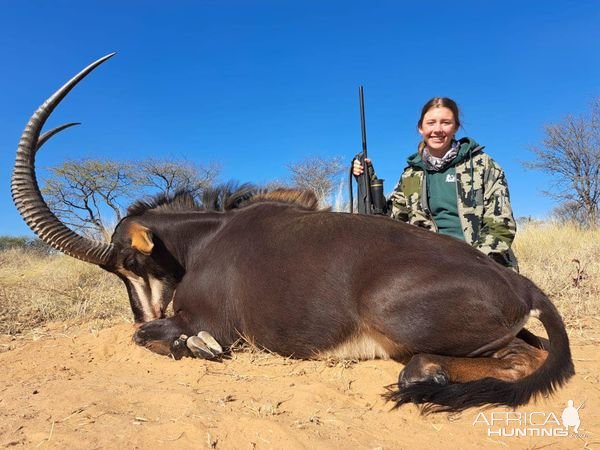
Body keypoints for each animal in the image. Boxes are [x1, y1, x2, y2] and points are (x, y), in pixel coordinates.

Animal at [11, 54, 576, 414]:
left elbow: (159, 339)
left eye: (130, 264)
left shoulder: (214, 322)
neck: (203, 241)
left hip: (399, 316)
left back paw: (424, 374)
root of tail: (521, 285)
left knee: (523, 358)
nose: (149, 312)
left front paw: (190, 344)